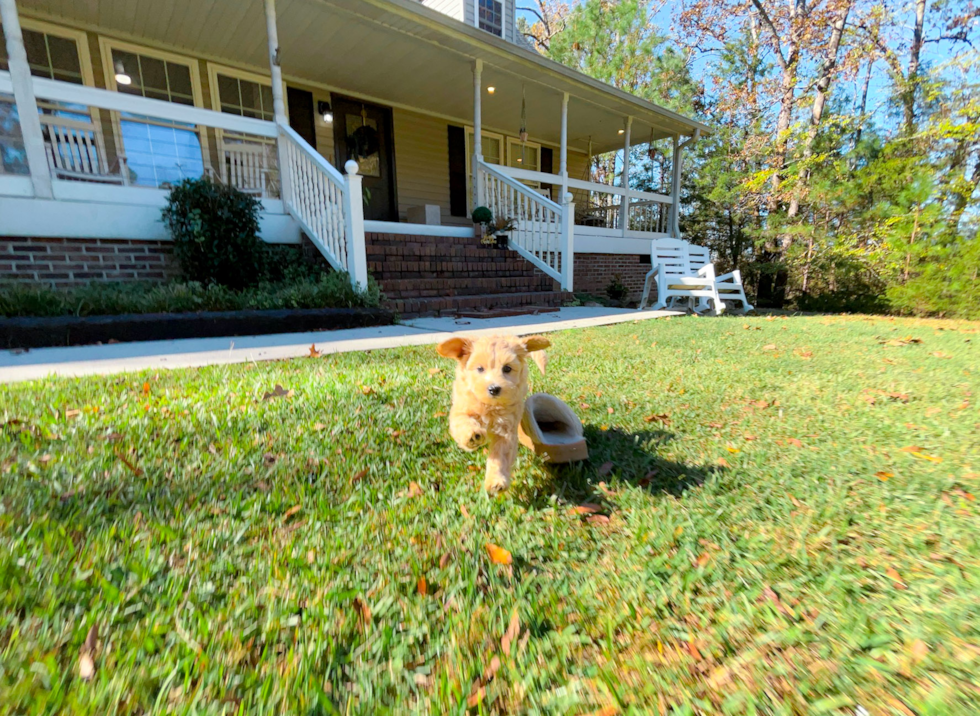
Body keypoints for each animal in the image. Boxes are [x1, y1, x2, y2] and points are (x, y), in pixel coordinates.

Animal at [436, 334, 552, 492]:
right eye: (480, 369)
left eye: (507, 368)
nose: (494, 389)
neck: (489, 406)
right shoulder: (461, 408)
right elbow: (463, 421)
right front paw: (472, 435)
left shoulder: (506, 430)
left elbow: (500, 456)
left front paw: (496, 480)